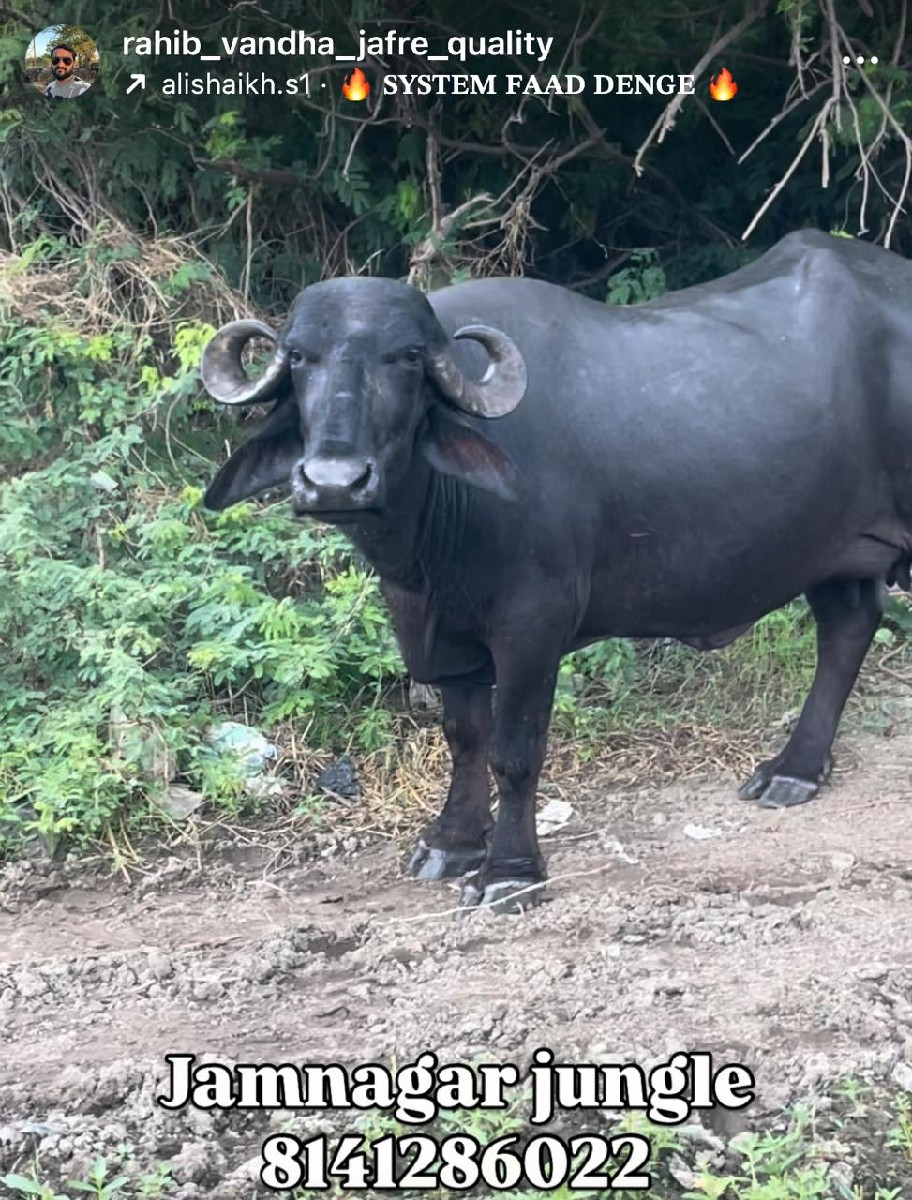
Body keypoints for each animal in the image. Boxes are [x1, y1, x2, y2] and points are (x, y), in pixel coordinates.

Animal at [200, 230, 912, 911]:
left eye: (405, 358)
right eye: (299, 357)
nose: (335, 482)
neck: (435, 527)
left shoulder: (532, 625)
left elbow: (514, 753)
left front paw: (510, 873)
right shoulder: (441, 628)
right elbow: (464, 737)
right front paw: (451, 842)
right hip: (832, 550)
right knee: (848, 628)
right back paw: (795, 768)